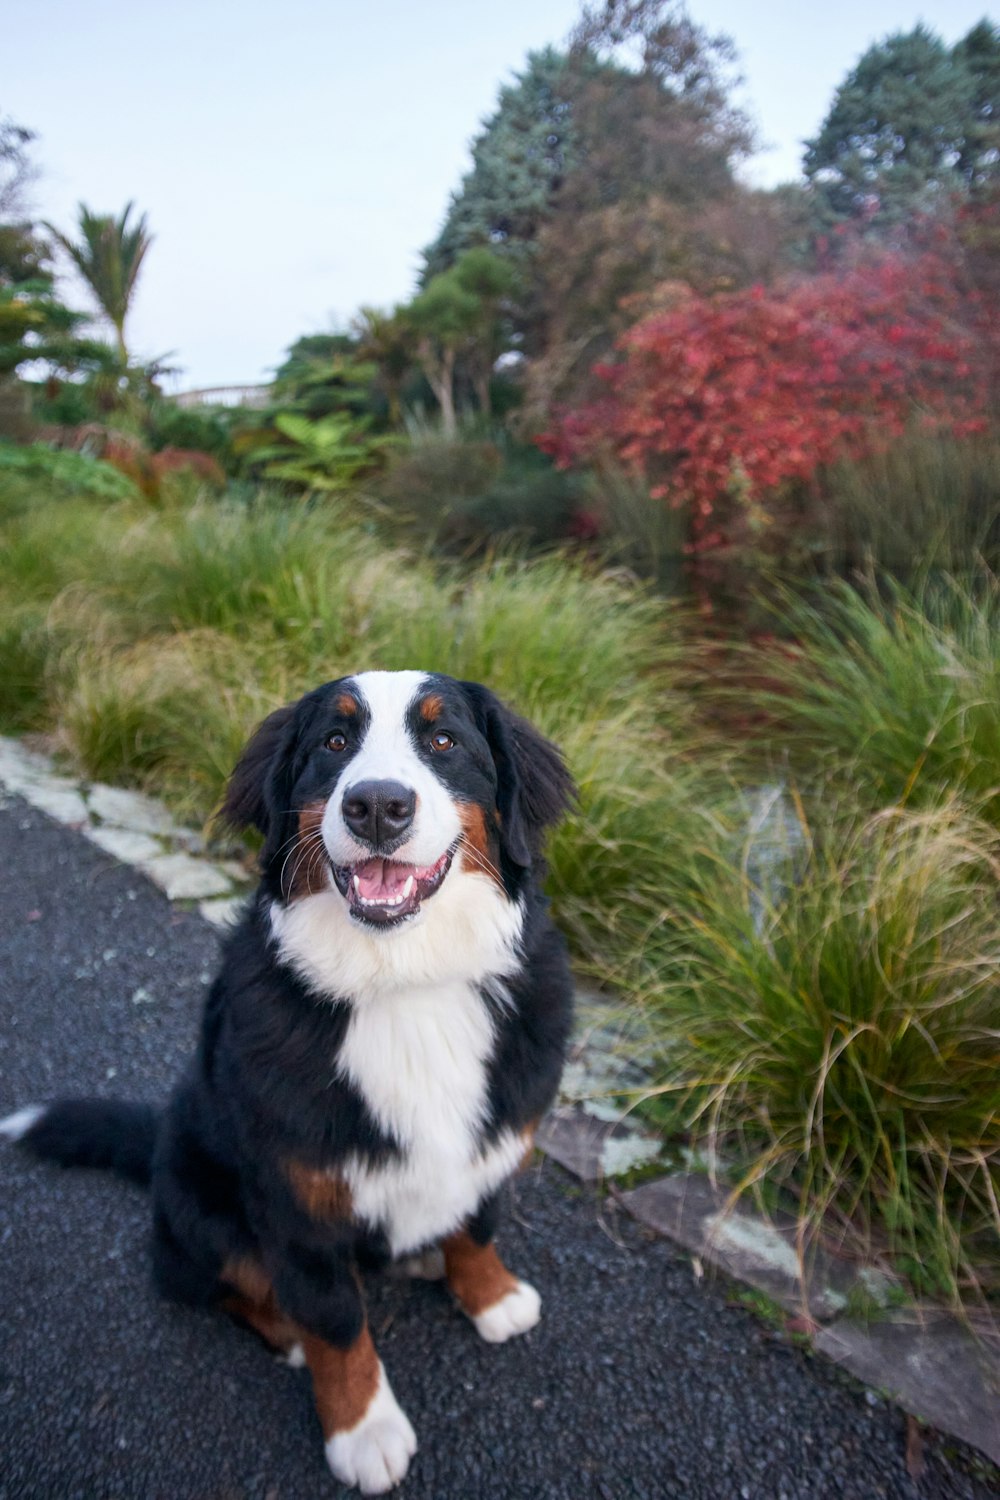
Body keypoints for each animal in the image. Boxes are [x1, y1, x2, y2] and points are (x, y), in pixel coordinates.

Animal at [0, 675, 575, 1494]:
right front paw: (363, 1432)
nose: (376, 805)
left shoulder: (494, 1142)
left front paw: (491, 1296)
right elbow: (336, 1321)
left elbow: (477, 1226)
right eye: (334, 742)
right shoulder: (299, 1200)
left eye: (444, 741)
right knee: (217, 1282)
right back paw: (289, 1334)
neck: (404, 984)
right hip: (199, 1202)